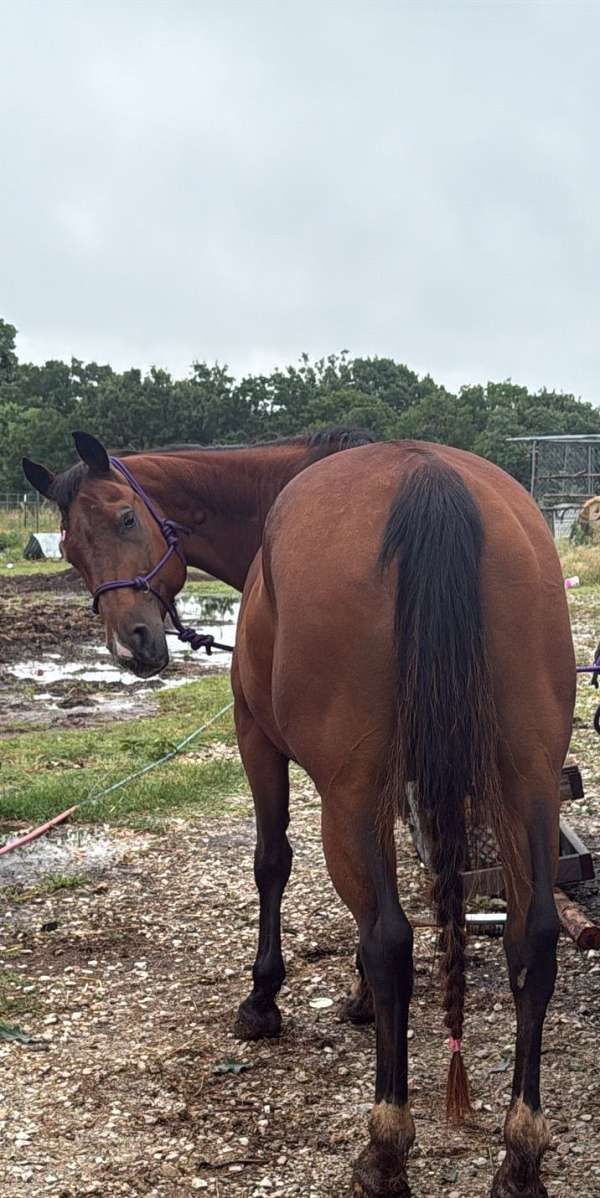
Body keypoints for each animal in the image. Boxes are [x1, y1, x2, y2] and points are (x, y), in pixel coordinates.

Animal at [23, 428, 575, 1198]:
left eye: (126, 517)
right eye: (70, 548)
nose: (133, 643)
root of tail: (429, 480)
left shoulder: (257, 738)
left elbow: (274, 864)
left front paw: (263, 998)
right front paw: (360, 999)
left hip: (354, 793)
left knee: (391, 939)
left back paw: (385, 1144)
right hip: (527, 782)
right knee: (533, 937)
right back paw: (521, 1153)